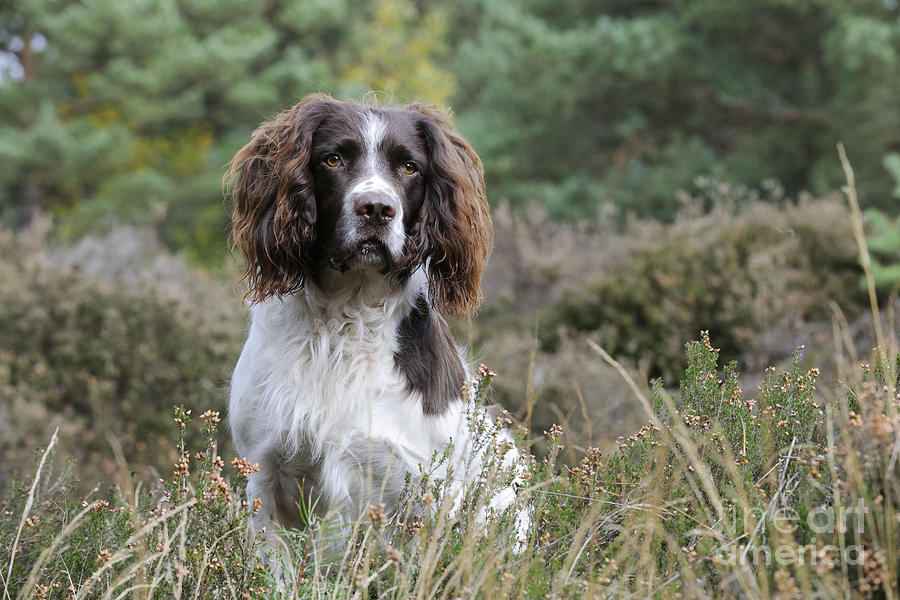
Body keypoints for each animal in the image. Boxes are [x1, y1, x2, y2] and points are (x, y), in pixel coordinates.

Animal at [227, 92, 528, 552]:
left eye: (410, 167)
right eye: (333, 159)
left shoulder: (418, 489)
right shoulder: (267, 478)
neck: (344, 322)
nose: (376, 209)